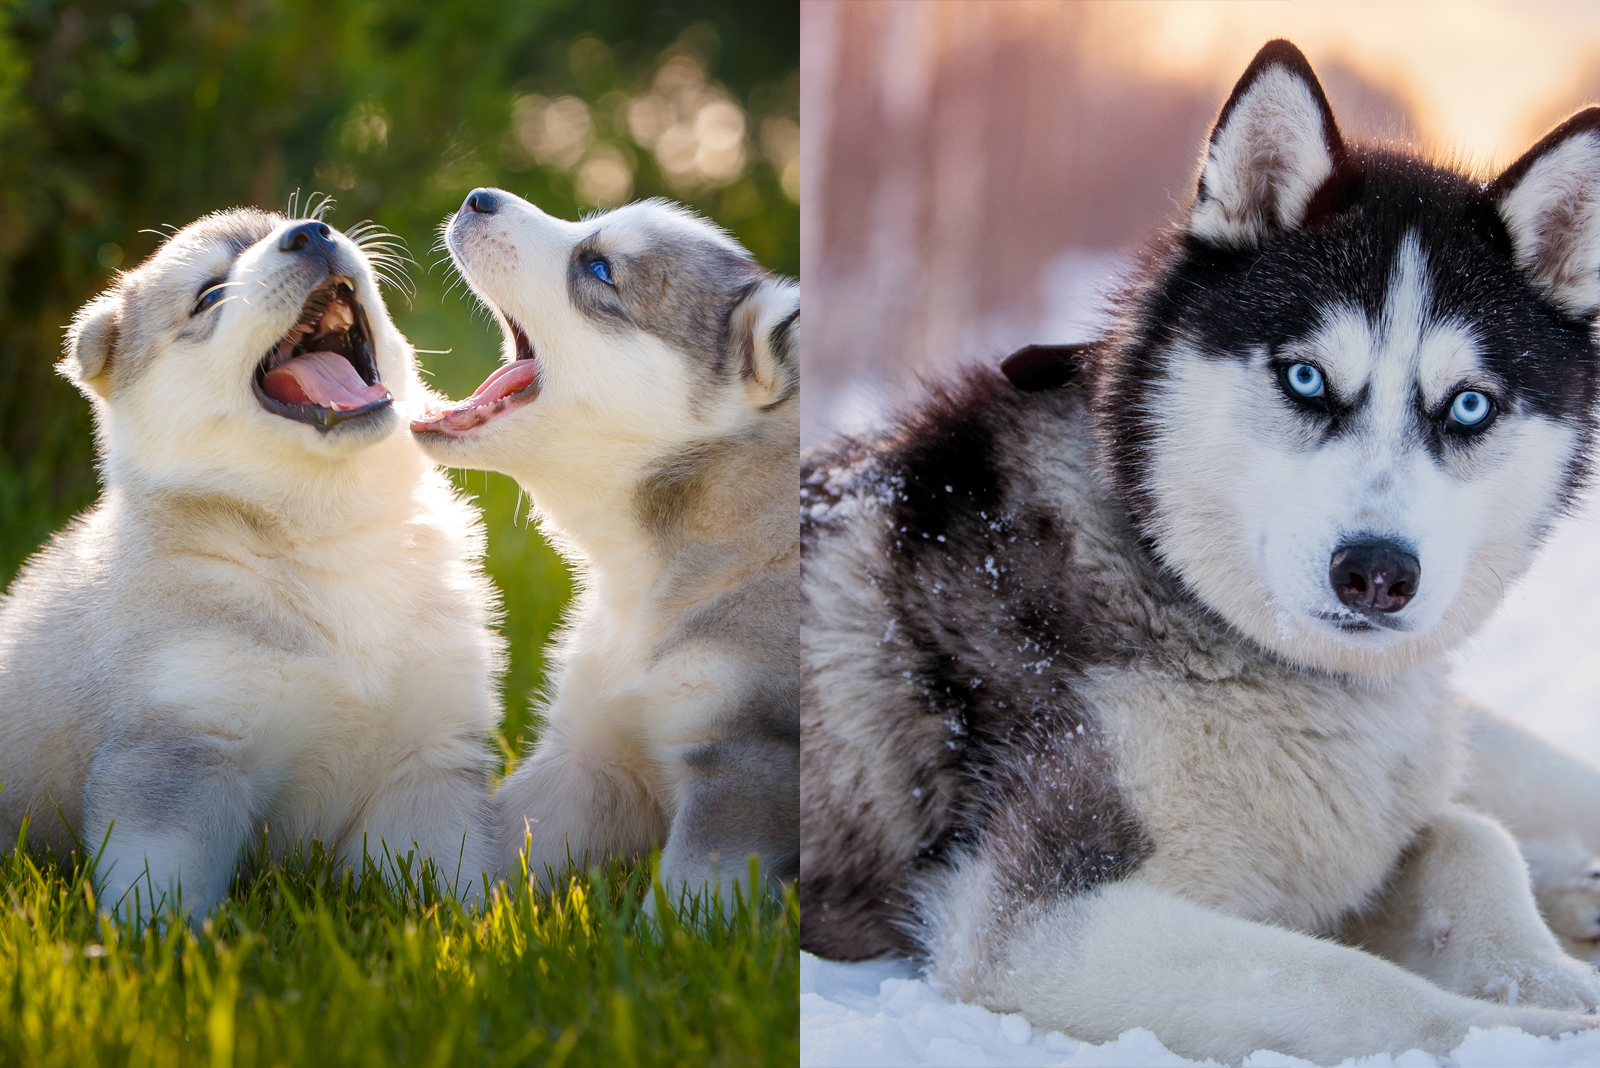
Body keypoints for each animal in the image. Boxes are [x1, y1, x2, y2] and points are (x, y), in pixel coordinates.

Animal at [0, 206, 499, 920]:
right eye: (209, 295)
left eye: (300, 223)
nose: (311, 234)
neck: (330, 535)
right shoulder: (182, 748)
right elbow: (164, 887)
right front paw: (163, 943)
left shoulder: (429, 755)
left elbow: (450, 883)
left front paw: (472, 929)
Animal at [412, 189, 800, 901]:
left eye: (599, 270)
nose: (478, 197)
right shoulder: (587, 755)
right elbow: (499, 836)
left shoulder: (743, 772)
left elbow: (683, 898)